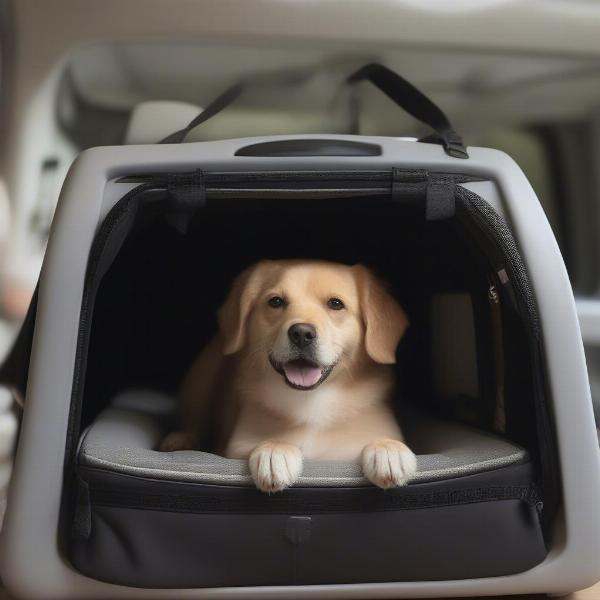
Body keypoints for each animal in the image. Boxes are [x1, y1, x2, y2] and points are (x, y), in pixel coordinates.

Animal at [163, 258, 418, 492]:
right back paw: (179, 440)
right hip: (202, 376)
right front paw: (275, 449)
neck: (312, 401)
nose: (302, 333)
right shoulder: (234, 446)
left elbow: (377, 442)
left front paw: (388, 449)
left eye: (336, 304)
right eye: (275, 301)